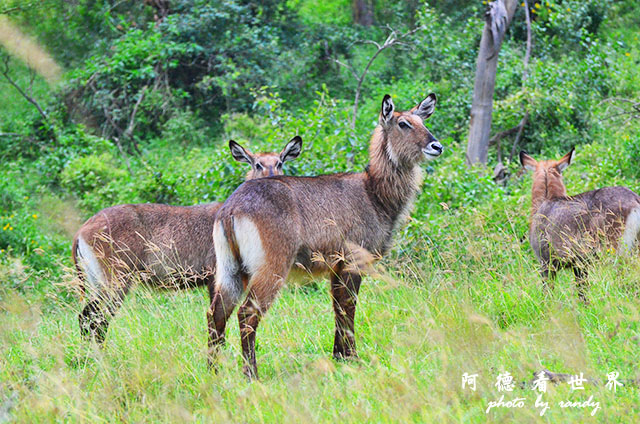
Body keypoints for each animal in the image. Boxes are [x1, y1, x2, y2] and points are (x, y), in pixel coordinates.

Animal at [72, 137, 302, 342]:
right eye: (257, 163)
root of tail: (81, 231)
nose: (271, 176)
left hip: (98, 282)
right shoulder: (215, 276)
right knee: (97, 321)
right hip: (115, 281)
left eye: (280, 162)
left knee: (86, 317)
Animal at [208, 93, 442, 378]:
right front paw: (353, 358)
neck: (374, 193)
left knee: (217, 313)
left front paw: (339, 356)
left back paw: (213, 371)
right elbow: (349, 307)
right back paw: (251, 374)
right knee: (246, 314)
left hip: (230, 268)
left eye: (422, 121)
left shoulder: (335, 266)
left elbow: (338, 308)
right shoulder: (353, 260)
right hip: (270, 267)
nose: (437, 146)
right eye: (403, 124)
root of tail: (231, 207)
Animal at [520, 149, 640, 302]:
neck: (545, 201)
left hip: (617, 250)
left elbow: (548, 292)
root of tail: (635, 199)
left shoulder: (546, 262)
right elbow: (583, 292)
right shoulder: (580, 265)